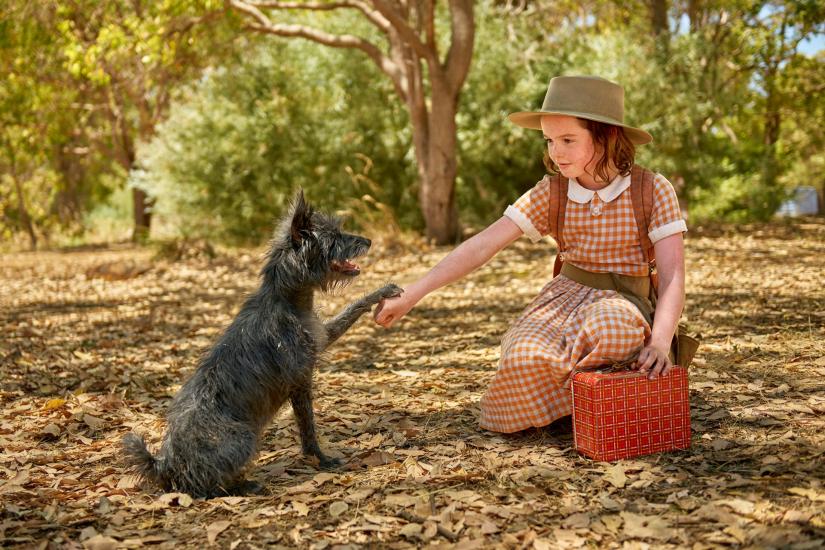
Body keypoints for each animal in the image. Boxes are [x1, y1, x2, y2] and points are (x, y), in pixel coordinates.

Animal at [123, 194, 402, 500]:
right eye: (334, 237)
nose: (369, 240)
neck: (285, 299)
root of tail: (166, 465)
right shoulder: (300, 383)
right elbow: (308, 428)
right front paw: (321, 460)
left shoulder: (323, 336)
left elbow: (353, 307)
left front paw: (383, 292)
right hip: (243, 439)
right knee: (204, 488)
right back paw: (246, 486)